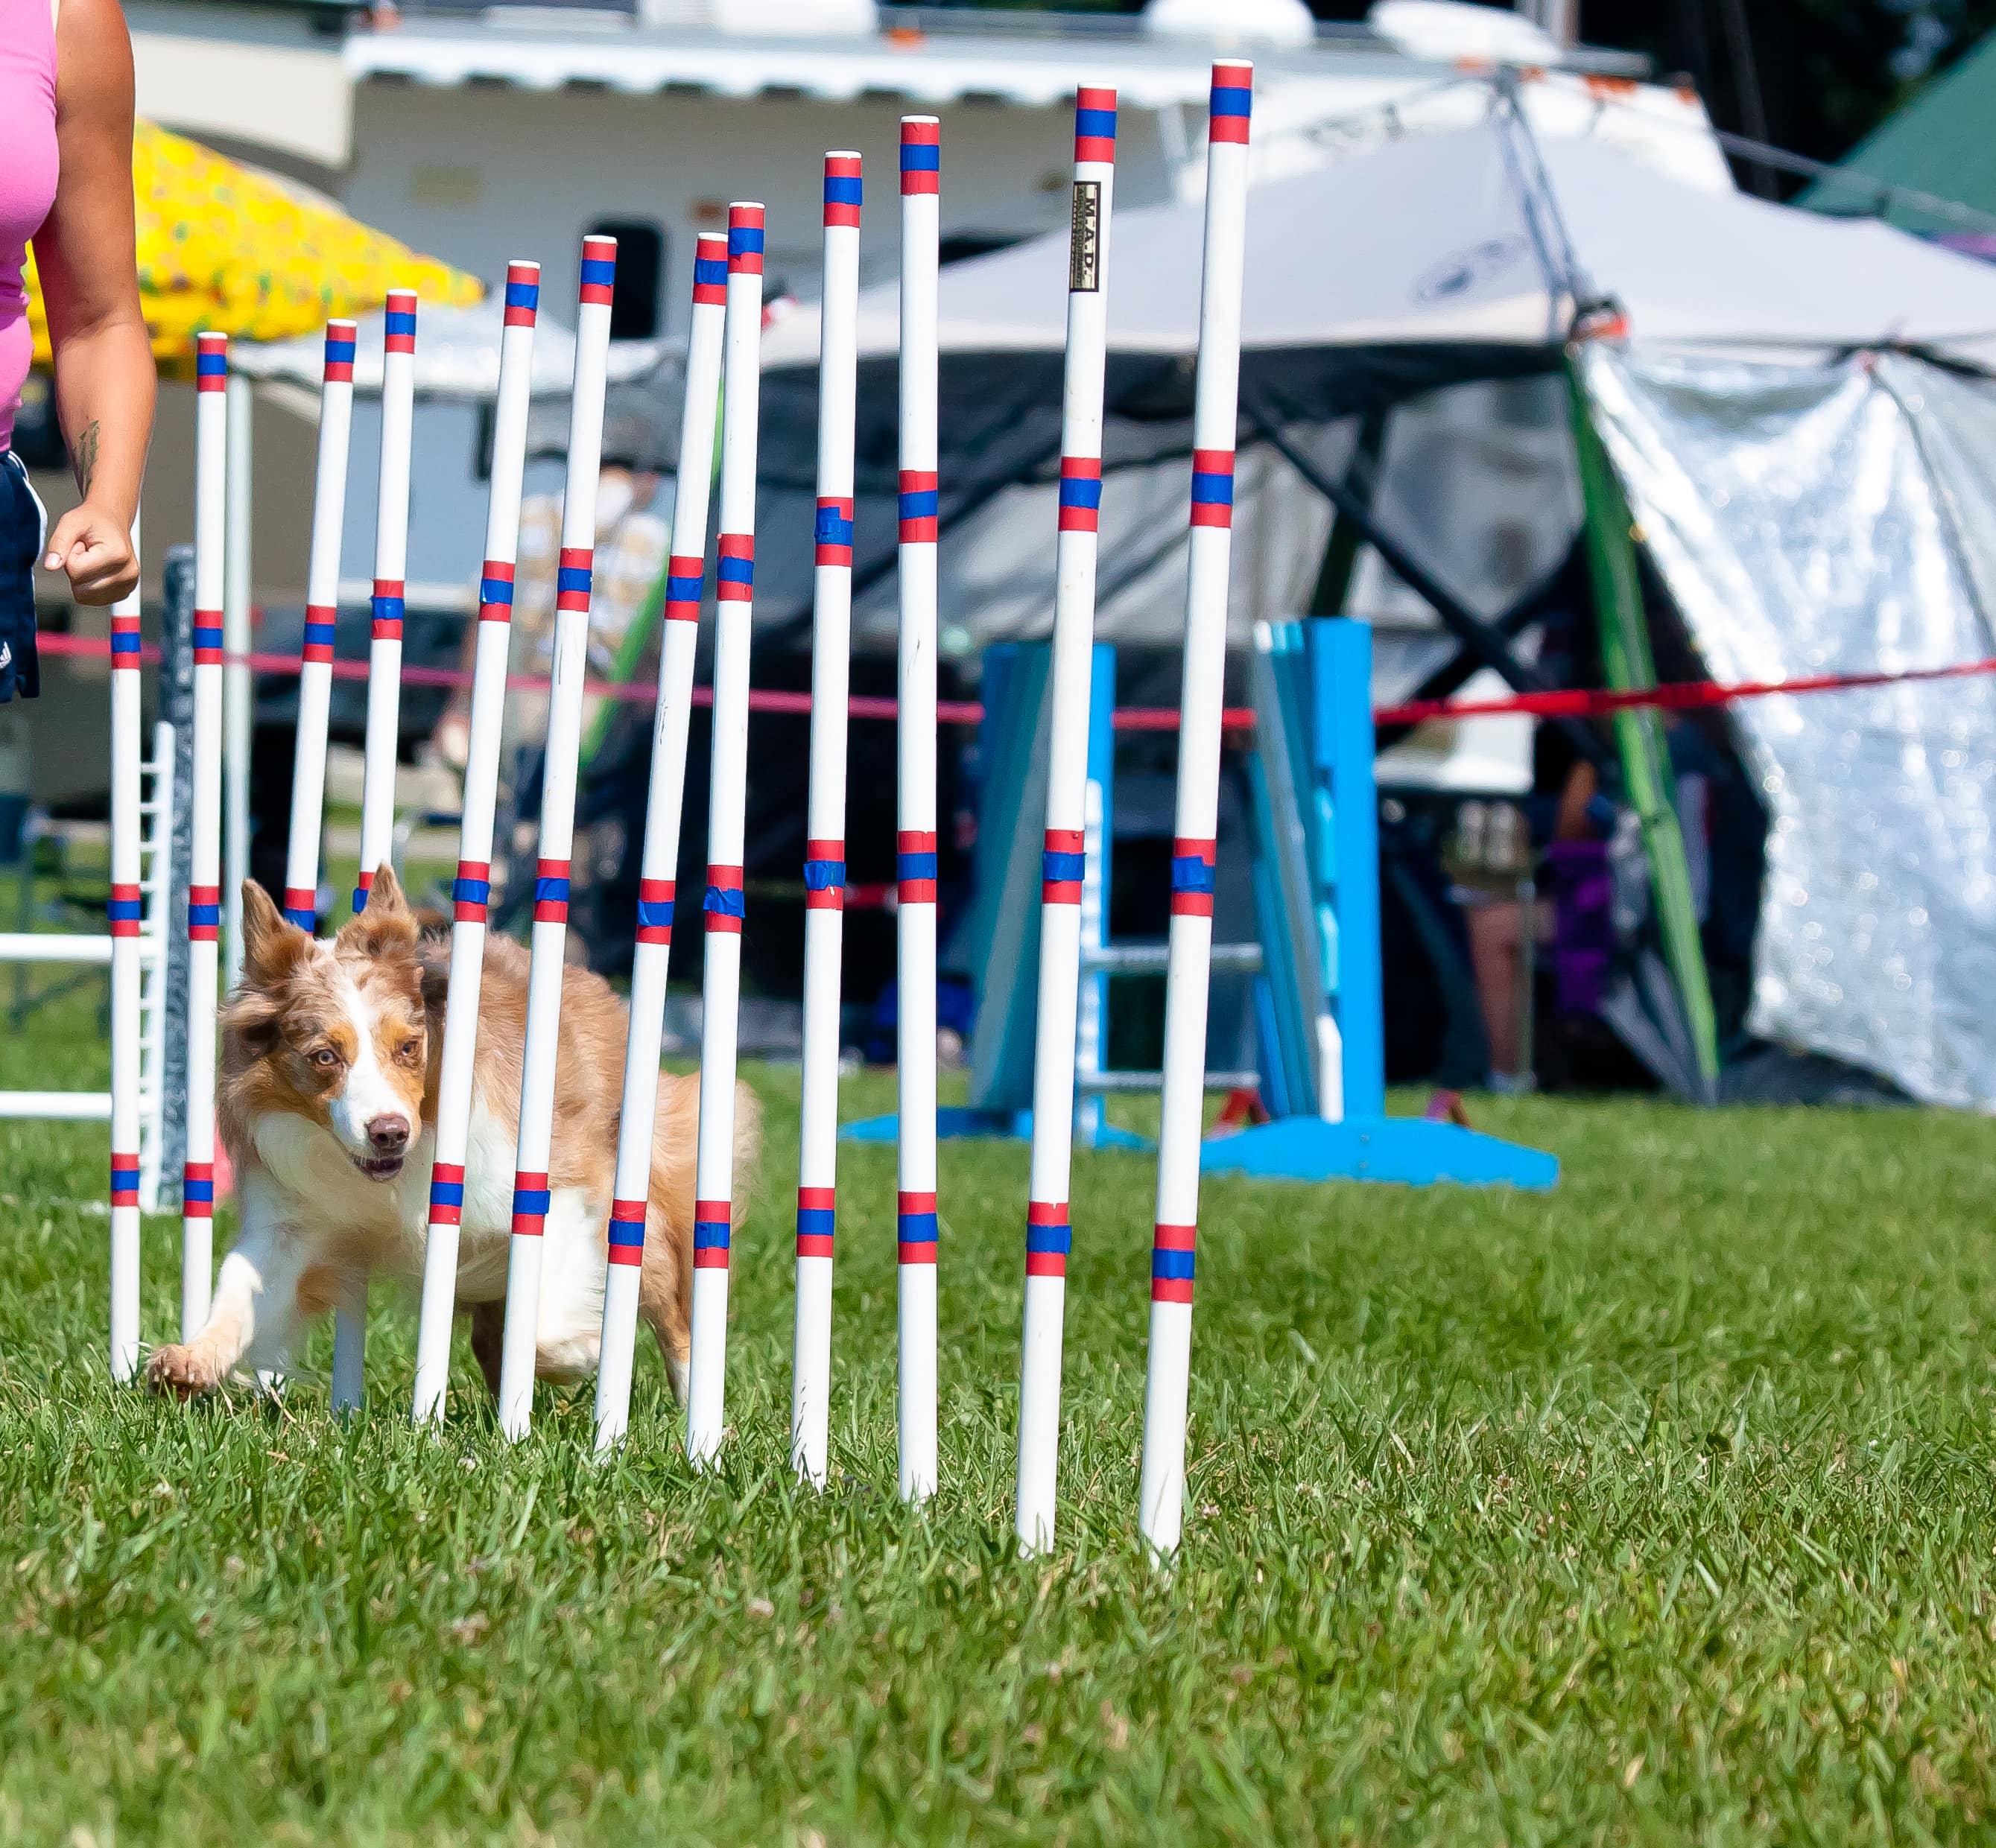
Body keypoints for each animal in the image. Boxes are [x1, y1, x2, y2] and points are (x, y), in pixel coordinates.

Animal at [140, 870, 750, 1405]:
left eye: (409, 1046)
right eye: (324, 1056)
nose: (389, 1133)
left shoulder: (557, 1187)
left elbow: (545, 1326)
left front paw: (581, 1352)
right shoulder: (294, 1220)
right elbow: (240, 1285)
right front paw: (194, 1356)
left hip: (644, 1212)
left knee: (675, 1320)